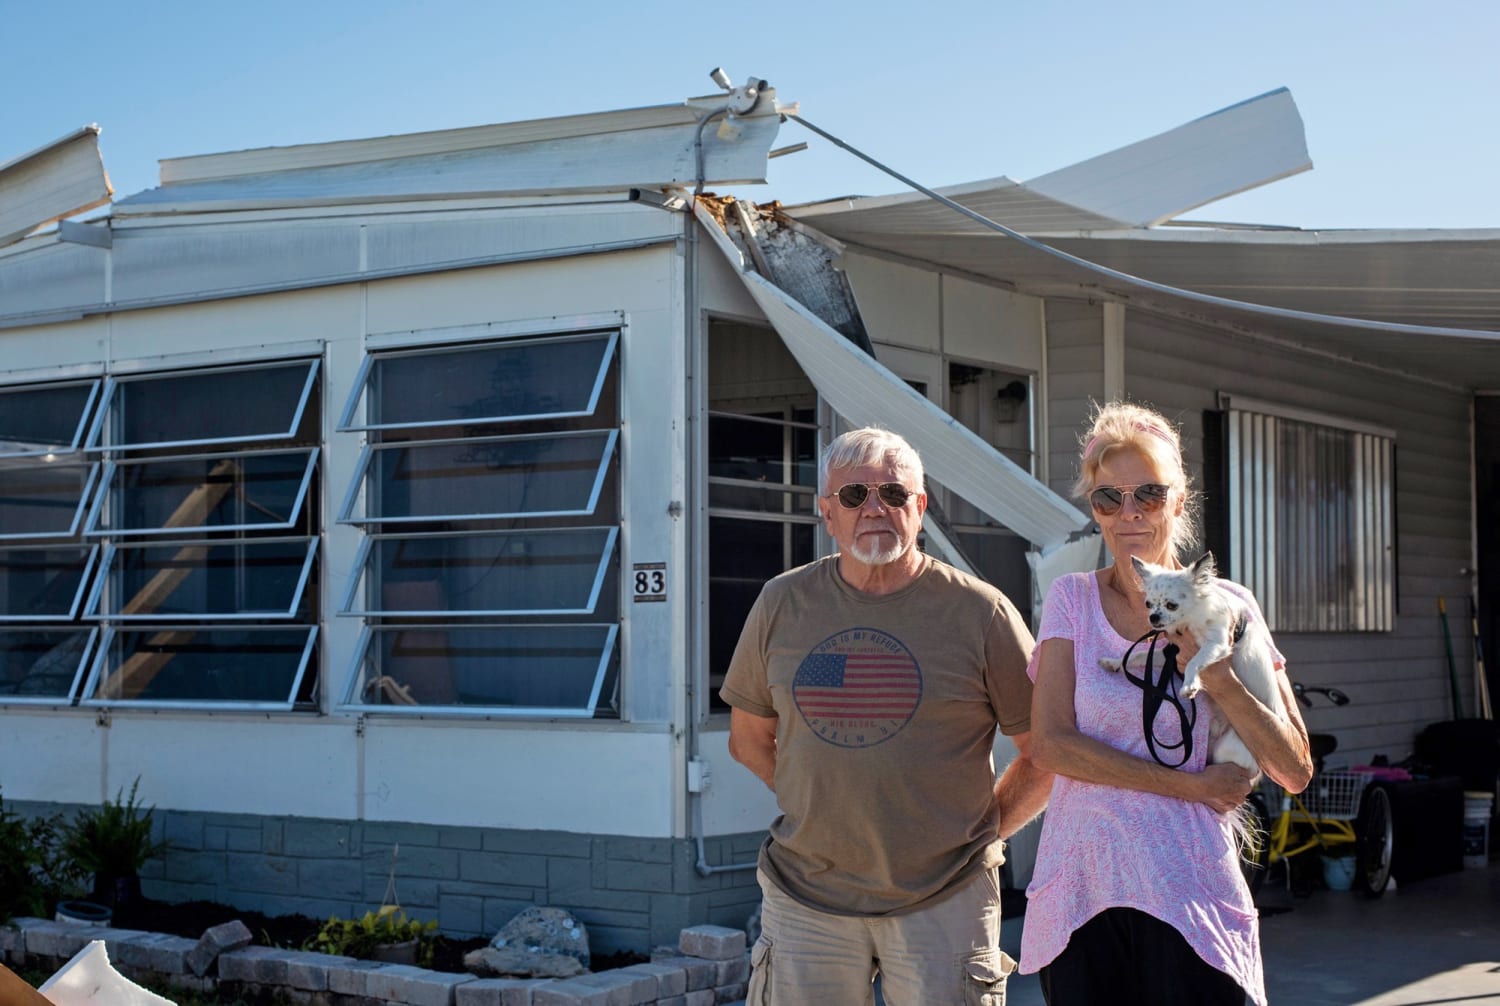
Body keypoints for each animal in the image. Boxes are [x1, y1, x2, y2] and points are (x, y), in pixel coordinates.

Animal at [1104, 554, 1290, 773]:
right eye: (1148, 604)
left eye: (1171, 605)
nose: (1153, 617)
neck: (1191, 621)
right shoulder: (1172, 653)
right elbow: (1138, 655)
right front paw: (1114, 662)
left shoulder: (1217, 644)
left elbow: (1194, 662)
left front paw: (1190, 685)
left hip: (1227, 749)